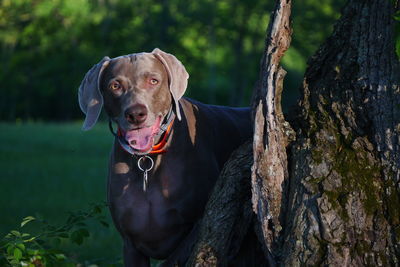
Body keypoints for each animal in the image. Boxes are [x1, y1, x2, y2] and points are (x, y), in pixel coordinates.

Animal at [78, 48, 252, 266]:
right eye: (115, 86)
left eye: (153, 81)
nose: (136, 114)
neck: (147, 159)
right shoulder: (130, 244)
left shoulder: (197, 227)